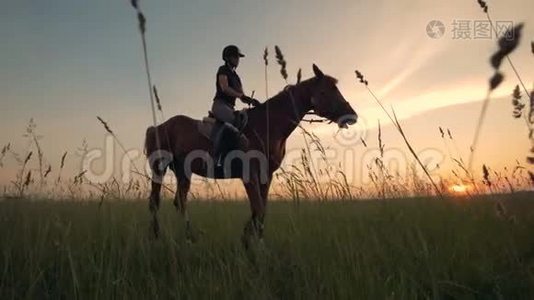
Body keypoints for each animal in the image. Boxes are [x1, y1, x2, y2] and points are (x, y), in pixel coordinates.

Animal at [144, 63, 358, 246]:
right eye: (324, 91)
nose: (352, 115)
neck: (267, 125)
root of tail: (158, 126)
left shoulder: (266, 175)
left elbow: (261, 209)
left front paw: (250, 238)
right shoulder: (250, 175)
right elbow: (258, 208)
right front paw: (251, 242)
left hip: (183, 172)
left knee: (180, 202)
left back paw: (189, 237)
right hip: (160, 168)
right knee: (154, 202)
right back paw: (156, 236)